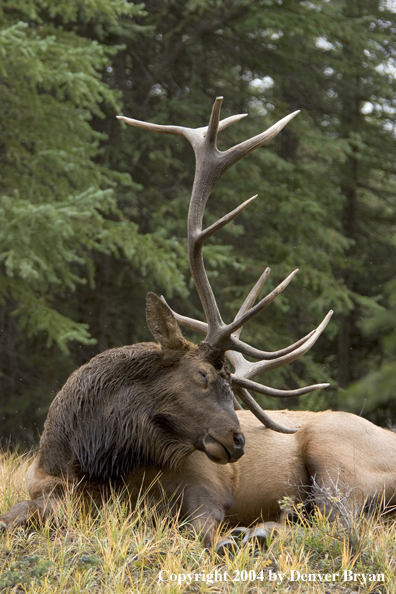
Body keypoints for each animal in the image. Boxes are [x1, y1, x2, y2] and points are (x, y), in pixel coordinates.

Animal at [3, 96, 378, 544]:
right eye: (202, 375)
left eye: (230, 387)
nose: (238, 440)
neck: (93, 460)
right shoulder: (45, 488)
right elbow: (16, 515)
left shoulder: (205, 486)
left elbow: (203, 532)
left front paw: (236, 536)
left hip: (337, 458)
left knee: (342, 525)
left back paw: (260, 532)